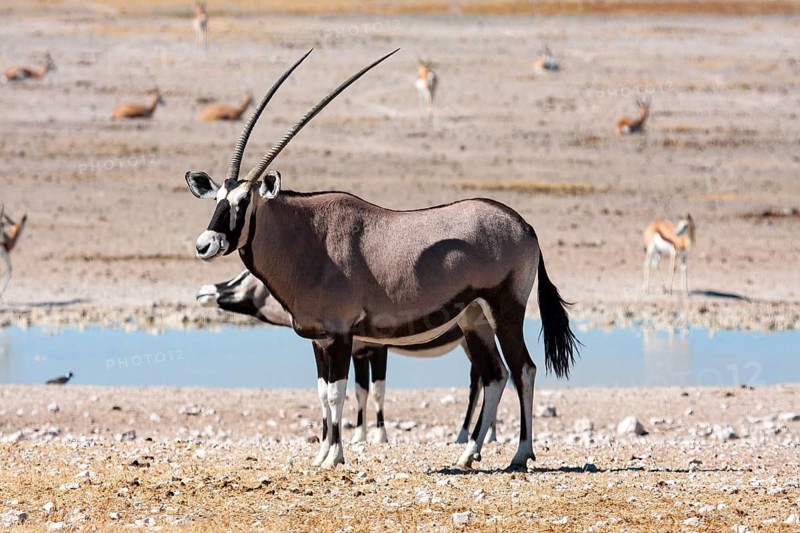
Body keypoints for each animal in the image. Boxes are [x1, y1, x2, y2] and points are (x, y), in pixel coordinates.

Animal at [197, 270, 496, 444]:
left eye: (243, 278)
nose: (204, 292)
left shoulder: (377, 350)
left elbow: (376, 391)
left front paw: (379, 436)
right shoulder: (357, 353)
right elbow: (359, 391)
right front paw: (358, 436)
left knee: (480, 382)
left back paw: (464, 436)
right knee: (486, 378)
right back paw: (489, 434)